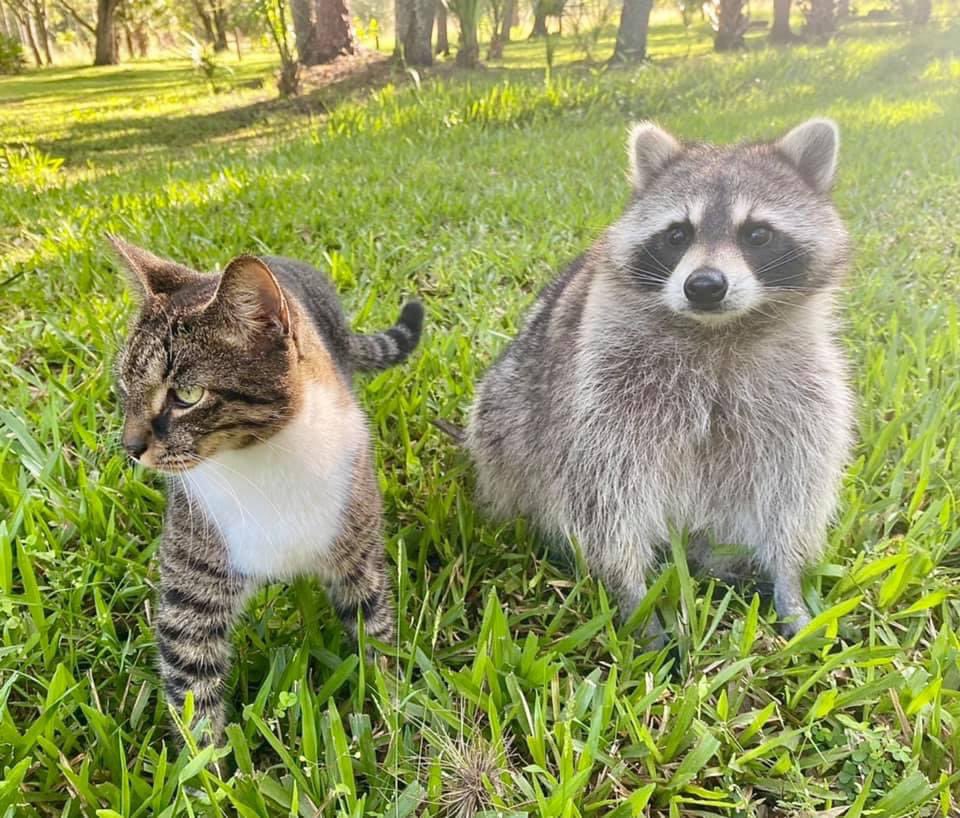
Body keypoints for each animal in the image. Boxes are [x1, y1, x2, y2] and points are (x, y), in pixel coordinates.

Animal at [112, 238, 423, 740]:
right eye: (124, 388)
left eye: (188, 395)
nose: (131, 447)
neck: (263, 459)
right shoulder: (193, 584)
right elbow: (192, 691)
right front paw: (210, 761)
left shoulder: (359, 552)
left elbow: (376, 634)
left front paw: (392, 713)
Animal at [466, 119, 854, 638]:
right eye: (676, 235)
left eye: (757, 234)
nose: (705, 286)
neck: (716, 333)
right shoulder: (598, 386)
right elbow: (603, 493)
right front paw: (633, 596)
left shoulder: (802, 386)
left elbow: (794, 482)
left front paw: (787, 578)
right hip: (506, 409)